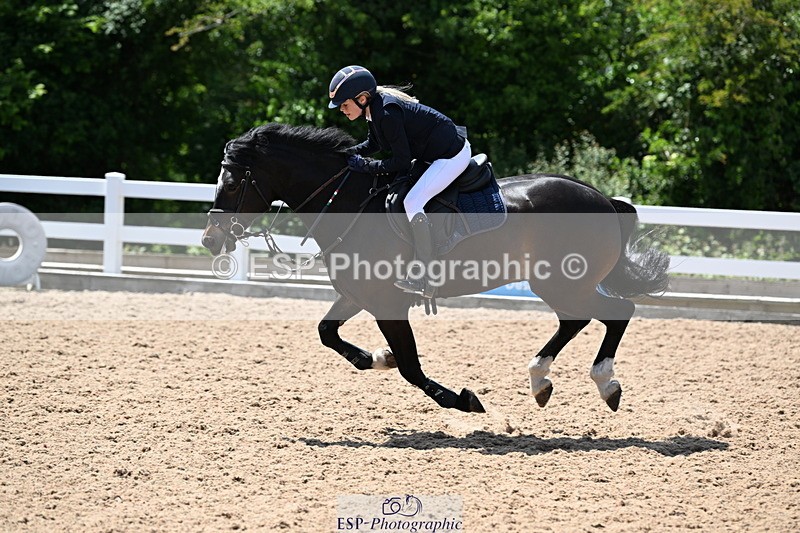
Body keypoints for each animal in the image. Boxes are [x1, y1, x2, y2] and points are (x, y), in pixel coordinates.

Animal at [202, 123, 669, 414]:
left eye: (233, 181)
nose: (210, 239)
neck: (350, 201)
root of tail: (603, 198)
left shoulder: (388, 304)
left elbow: (411, 367)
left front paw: (463, 400)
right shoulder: (359, 295)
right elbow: (328, 333)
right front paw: (377, 357)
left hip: (562, 282)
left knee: (615, 313)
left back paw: (604, 383)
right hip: (557, 283)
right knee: (579, 319)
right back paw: (541, 380)